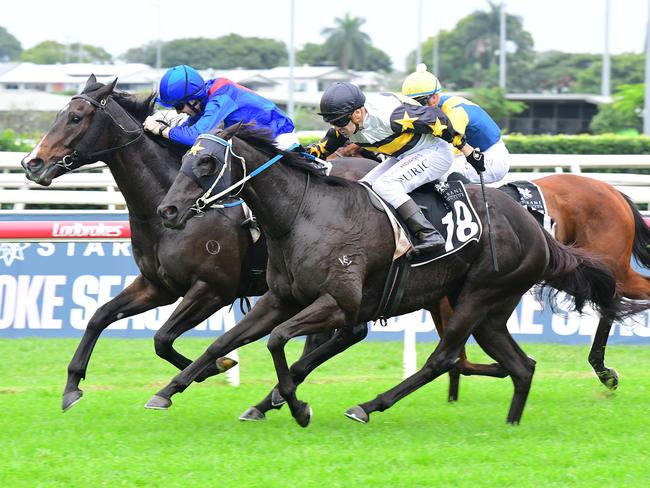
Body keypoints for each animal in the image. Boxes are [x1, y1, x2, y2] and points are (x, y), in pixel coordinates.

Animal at [20, 77, 378, 416]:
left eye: (76, 117)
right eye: (59, 114)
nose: (31, 163)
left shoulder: (213, 289)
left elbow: (162, 338)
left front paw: (210, 369)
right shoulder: (157, 285)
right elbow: (100, 316)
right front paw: (71, 386)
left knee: (348, 331)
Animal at [151, 124, 628, 426]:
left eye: (207, 162)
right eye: (186, 158)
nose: (167, 211)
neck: (303, 214)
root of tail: (536, 228)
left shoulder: (336, 303)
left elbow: (278, 341)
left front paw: (298, 408)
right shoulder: (280, 298)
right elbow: (224, 342)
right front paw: (168, 391)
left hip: (478, 295)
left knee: (444, 358)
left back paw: (369, 405)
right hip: (492, 310)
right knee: (521, 366)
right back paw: (511, 424)